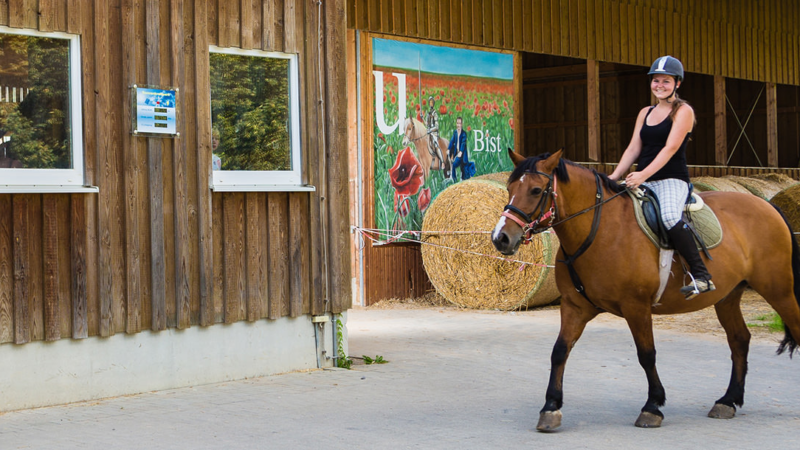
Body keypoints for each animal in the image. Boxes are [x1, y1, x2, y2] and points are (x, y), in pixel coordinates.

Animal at [490, 149, 796, 430]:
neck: (599, 228)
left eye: (535, 190)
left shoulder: (636, 307)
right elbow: (559, 351)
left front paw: (652, 406)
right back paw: (727, 401)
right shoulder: (574, 306)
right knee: (739, 340)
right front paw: (551, 407)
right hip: (727, 297)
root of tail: (767, 205)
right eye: (510, 188)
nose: (500, 238)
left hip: (778, 290)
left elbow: (646, 354)